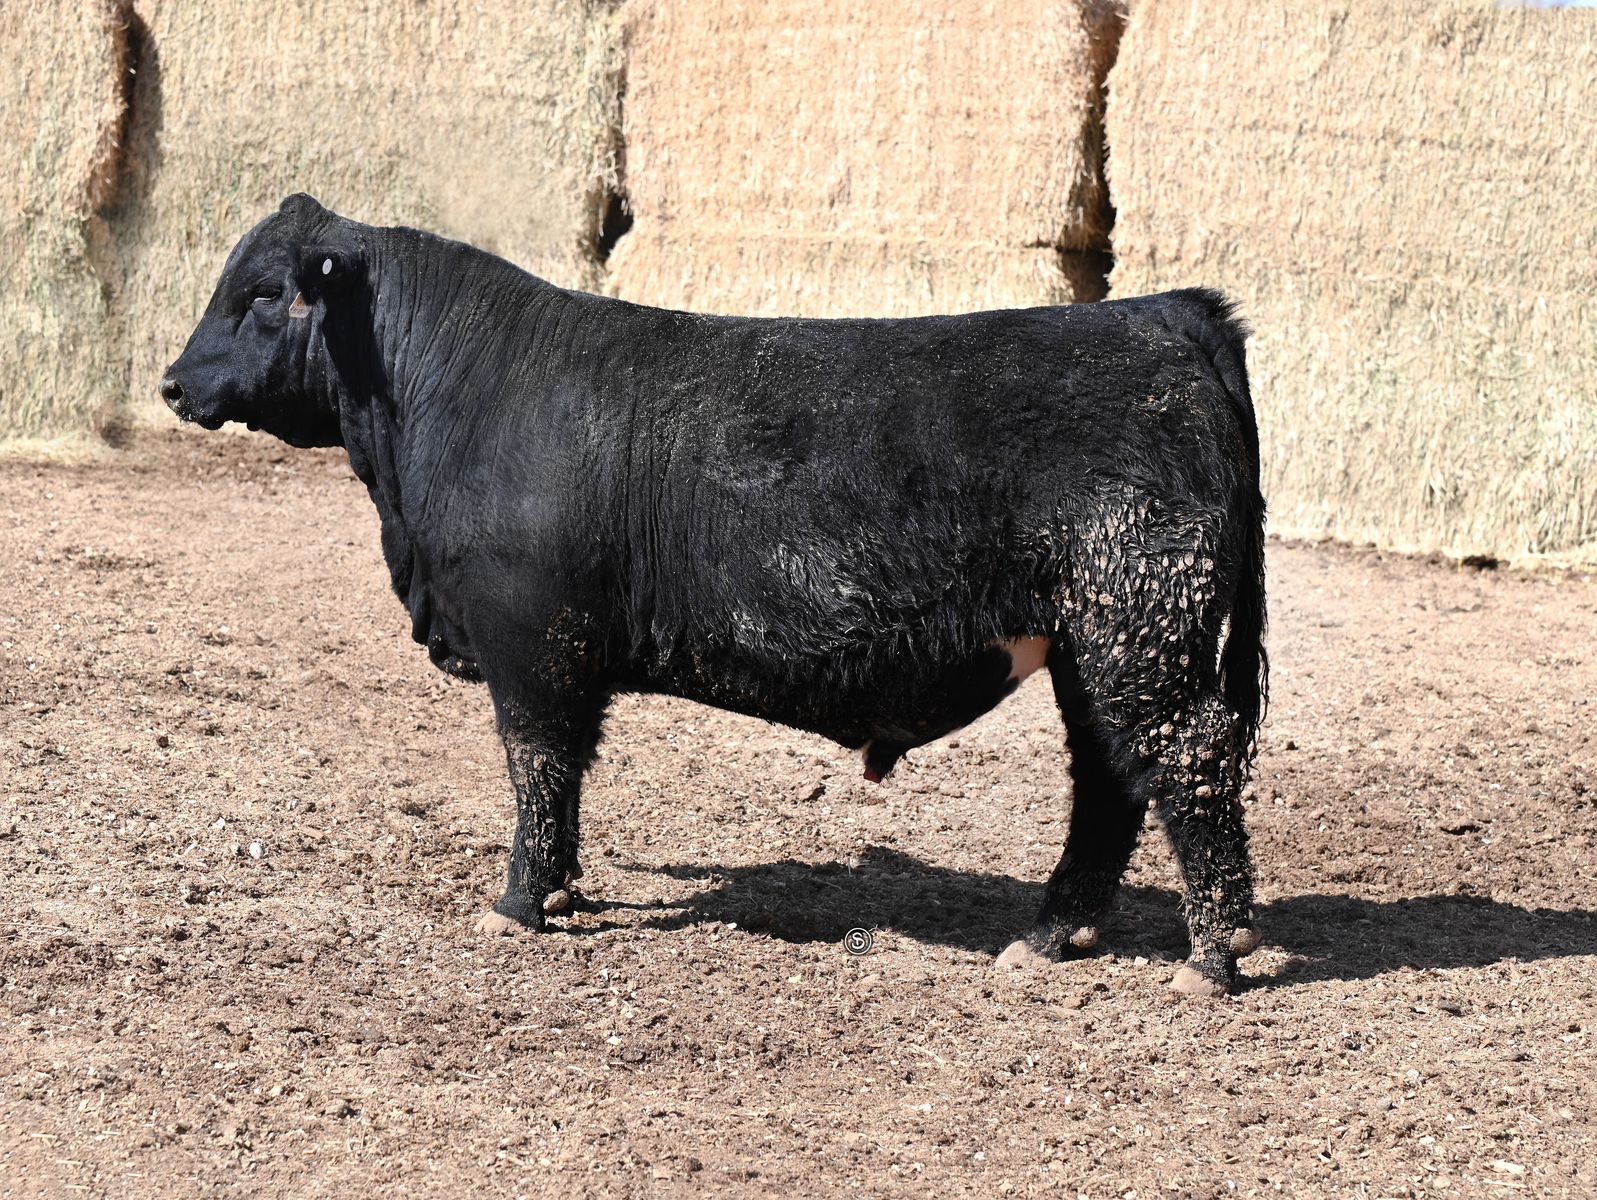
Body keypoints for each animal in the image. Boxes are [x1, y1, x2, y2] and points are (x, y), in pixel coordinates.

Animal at [161, 194, 1269, 996]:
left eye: (265, 292)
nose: (173, 383)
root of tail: (1161, 313)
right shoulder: (564, 654)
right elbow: (566, 777)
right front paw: (563, 894)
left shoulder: (531, 641)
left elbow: (536, 767)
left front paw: (518, 904)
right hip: (1097, 647)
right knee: (1111, 780)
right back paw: (1048, 937)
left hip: (1143, 628)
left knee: (1188, 762)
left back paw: (1211, 959)